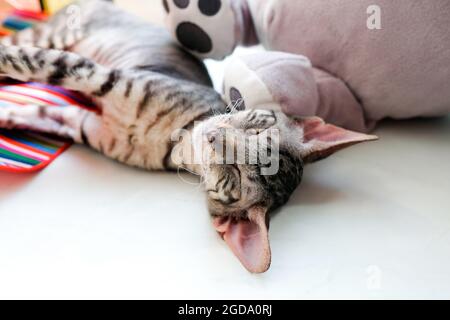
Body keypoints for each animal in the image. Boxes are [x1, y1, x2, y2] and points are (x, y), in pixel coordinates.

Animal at [0, 0, 376, 272]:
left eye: (232, 177)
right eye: (256, 127)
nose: (215, 135)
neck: (172, 138)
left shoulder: (80, 121)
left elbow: (31, 112)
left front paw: (9, 118)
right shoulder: (100, 76)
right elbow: (31, 63)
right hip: (55, 36)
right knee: (19, 46)